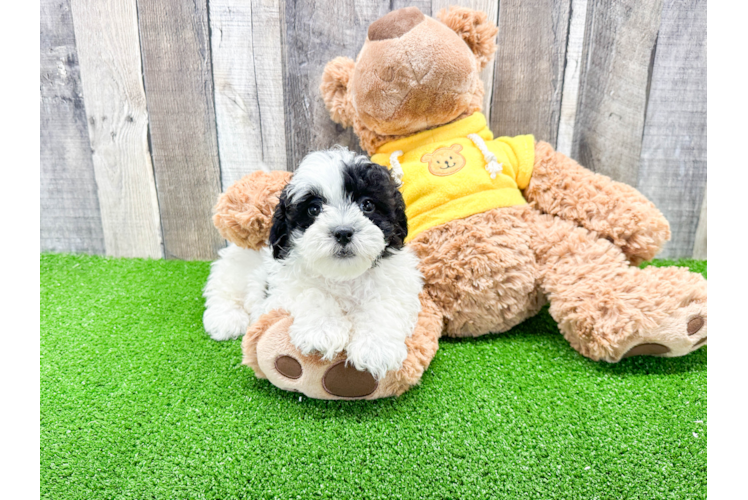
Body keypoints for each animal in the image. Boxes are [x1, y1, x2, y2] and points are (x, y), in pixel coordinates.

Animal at [202, 147, 424, 378]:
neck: (343, 276)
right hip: (236, 267)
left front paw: (376, 349)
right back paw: (226, 320)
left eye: (368, 205)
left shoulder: (398, 283)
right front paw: (323, 331)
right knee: (223, 289)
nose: (343, 232)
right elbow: (312, 294)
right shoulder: (285, 286)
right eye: (314, 209)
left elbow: (383, 305)